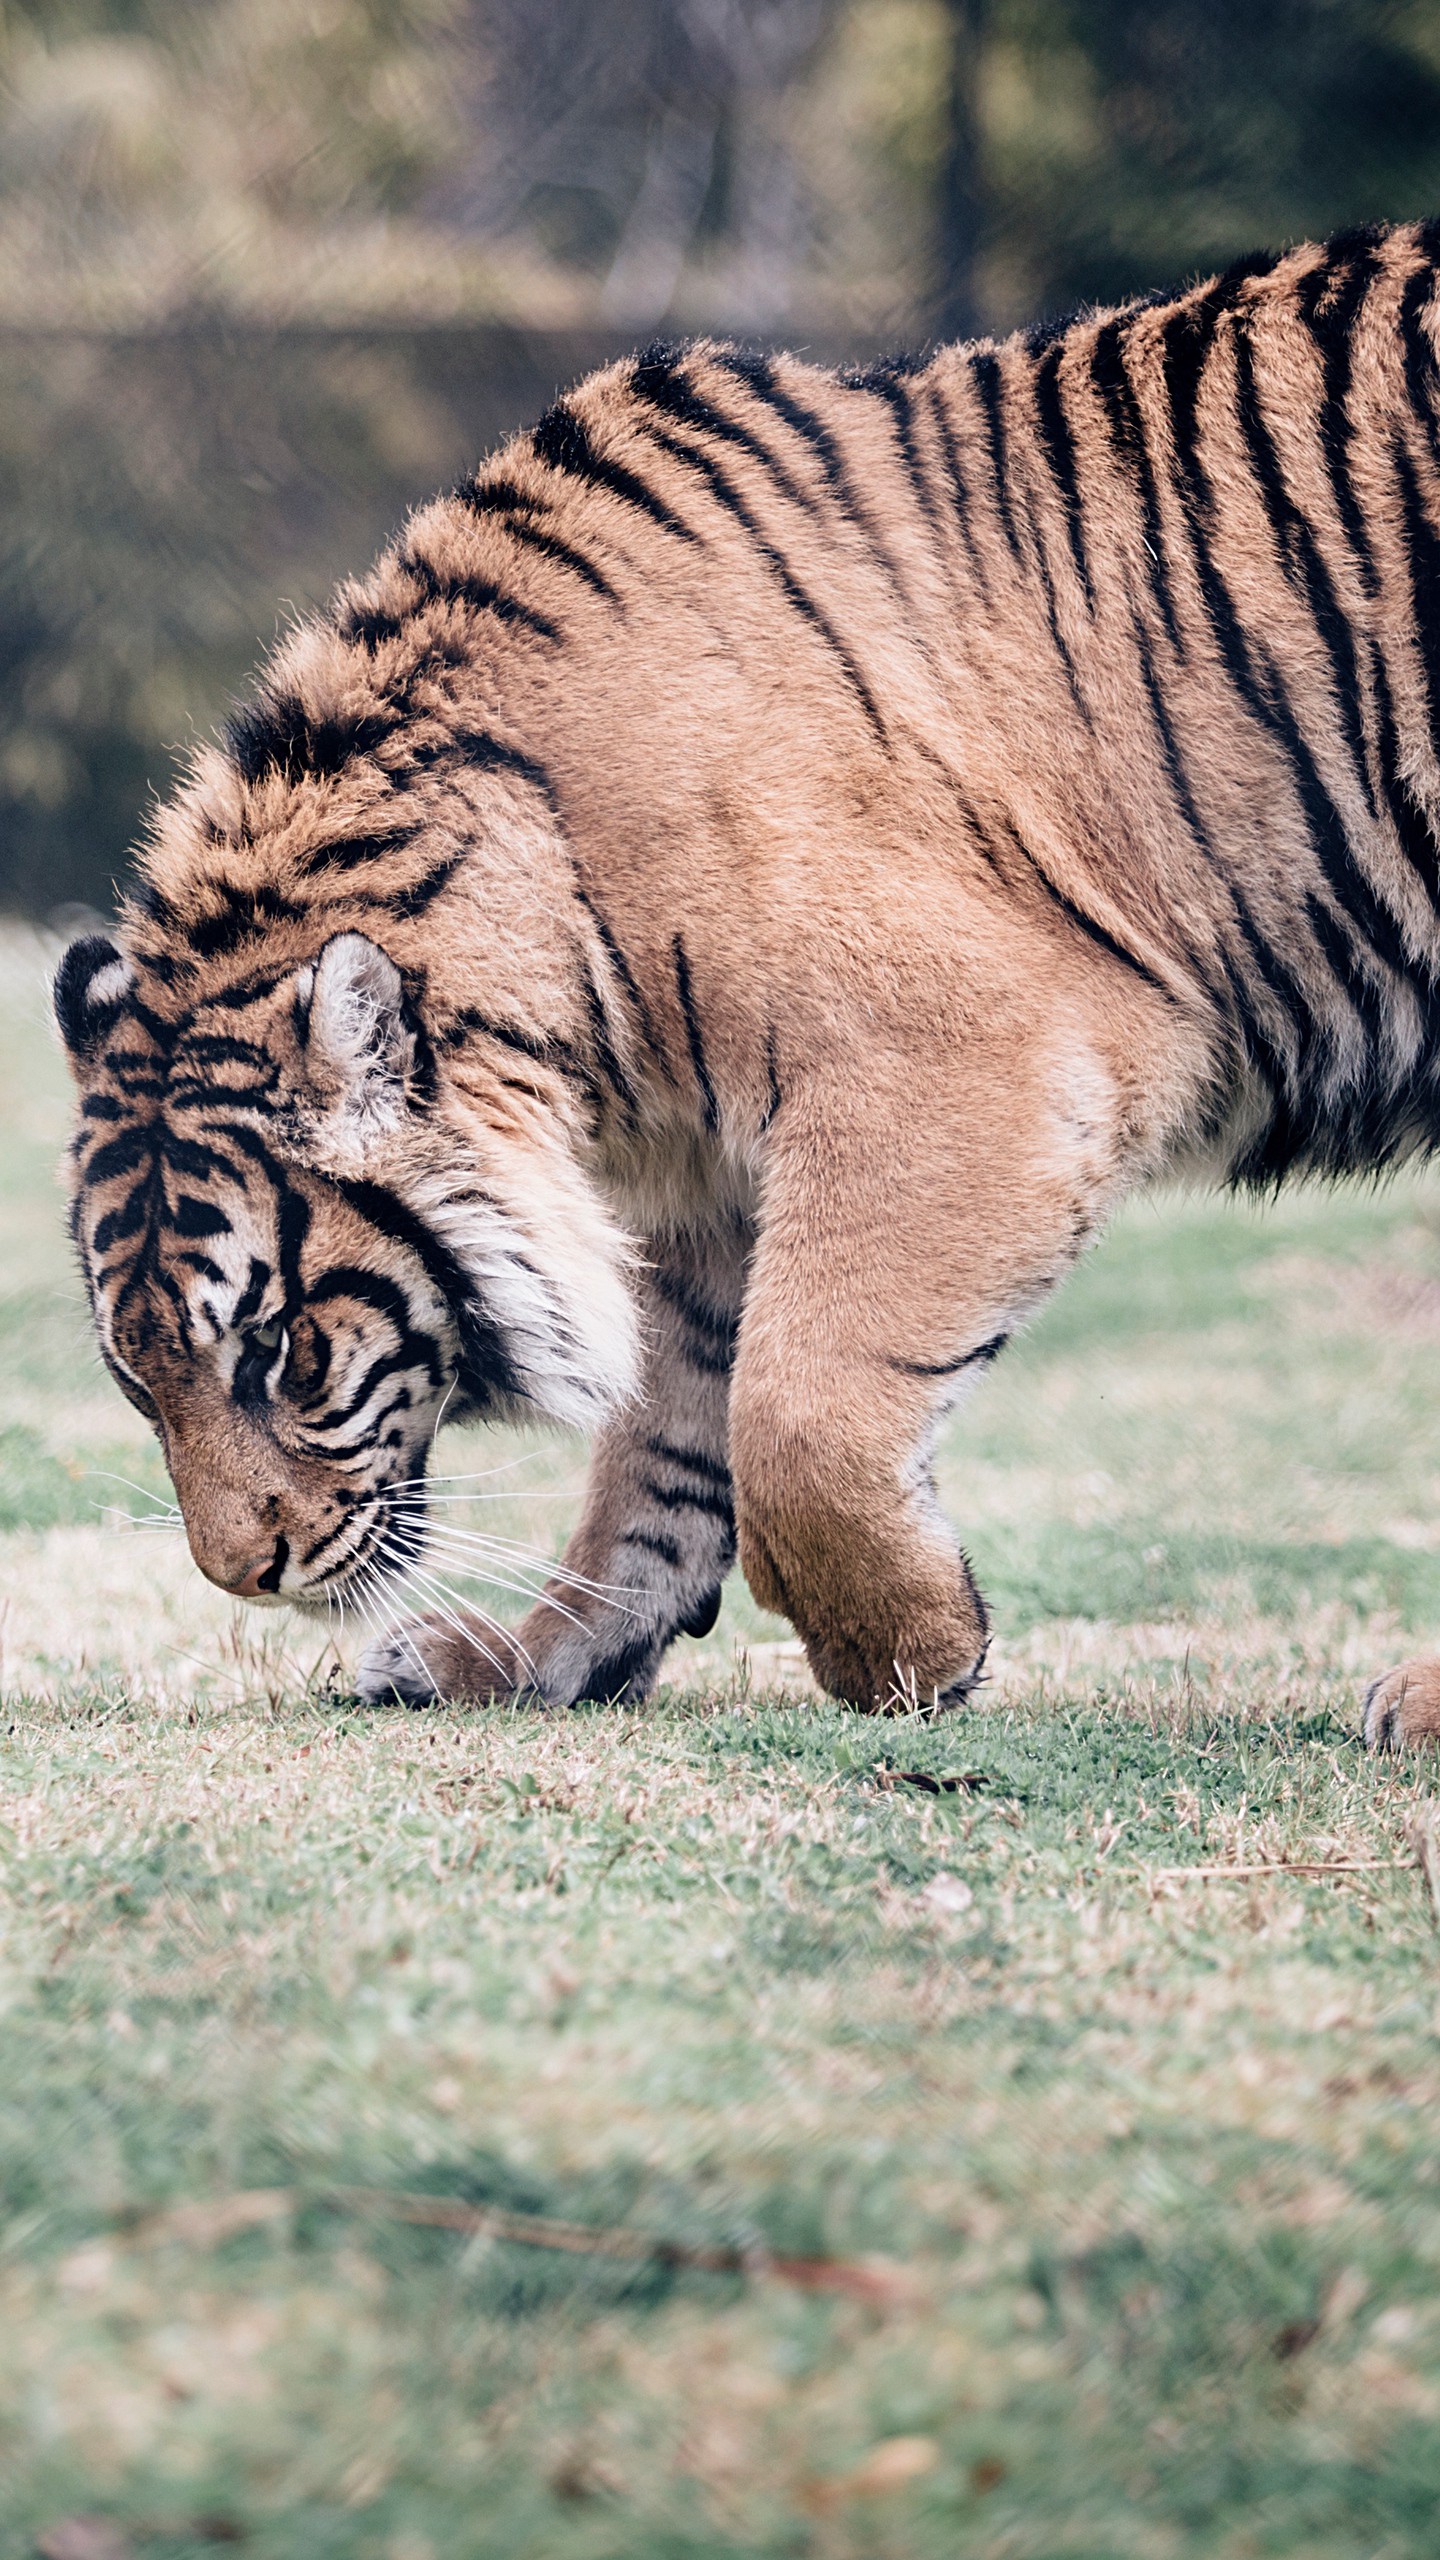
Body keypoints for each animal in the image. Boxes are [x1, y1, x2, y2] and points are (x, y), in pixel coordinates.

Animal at [58, 220, 1440, 1740]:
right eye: (136, 1377)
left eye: (280, 1353)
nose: (243, 1574)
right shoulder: (701, 1183)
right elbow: (662, 1446)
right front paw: (536, 1661)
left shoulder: (975, 1060)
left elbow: (796, 1408)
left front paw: (907, 1654)